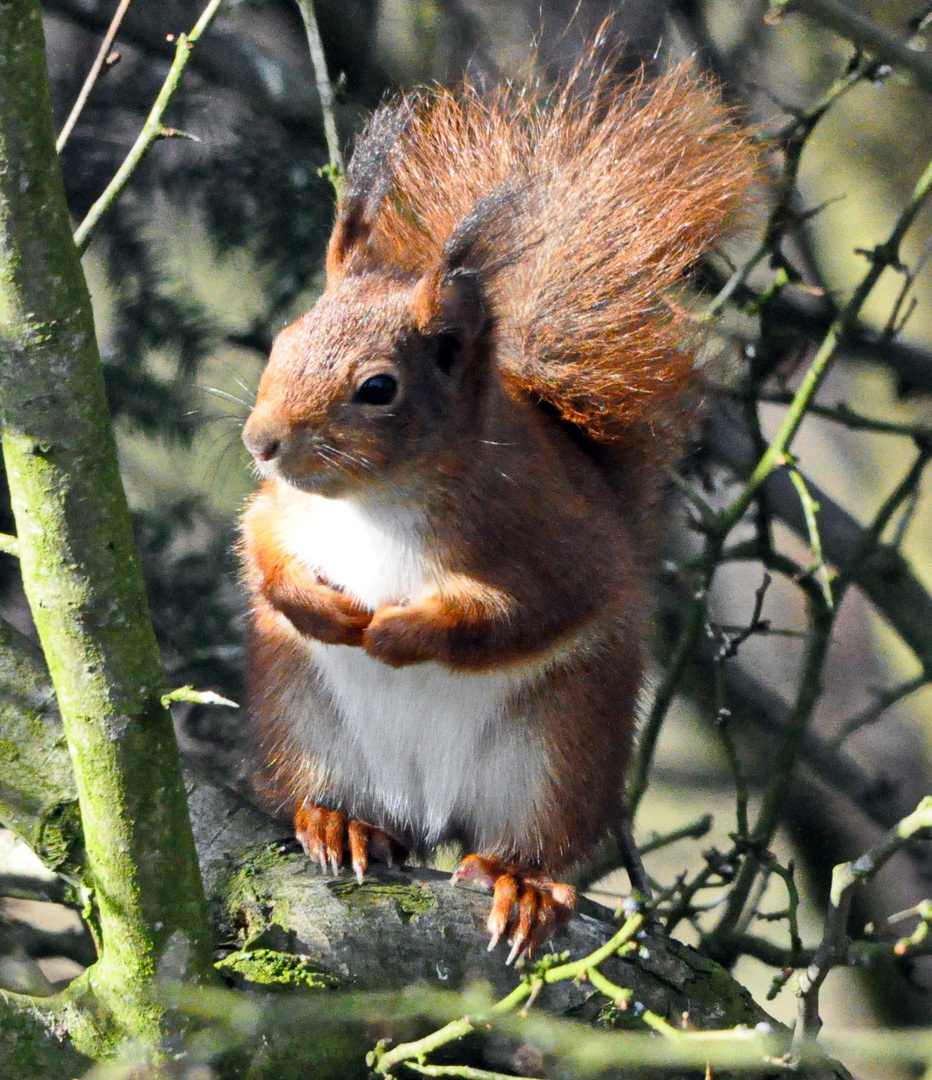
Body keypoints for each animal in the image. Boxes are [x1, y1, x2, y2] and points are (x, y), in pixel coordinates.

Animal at [240, 56, 760, 963]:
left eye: (379, 389)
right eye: (282, 341)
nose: (260, 441)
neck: (378, 501)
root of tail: (427, 808)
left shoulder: (549, 541)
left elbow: (517, 615)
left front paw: (398, 631)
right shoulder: (283, 511)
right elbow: (260, 548)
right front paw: (320, 605)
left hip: (557, 751)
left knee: (532, 840)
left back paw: (521, 885)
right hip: (300, 717)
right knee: (330, 792)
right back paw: (340, 822)